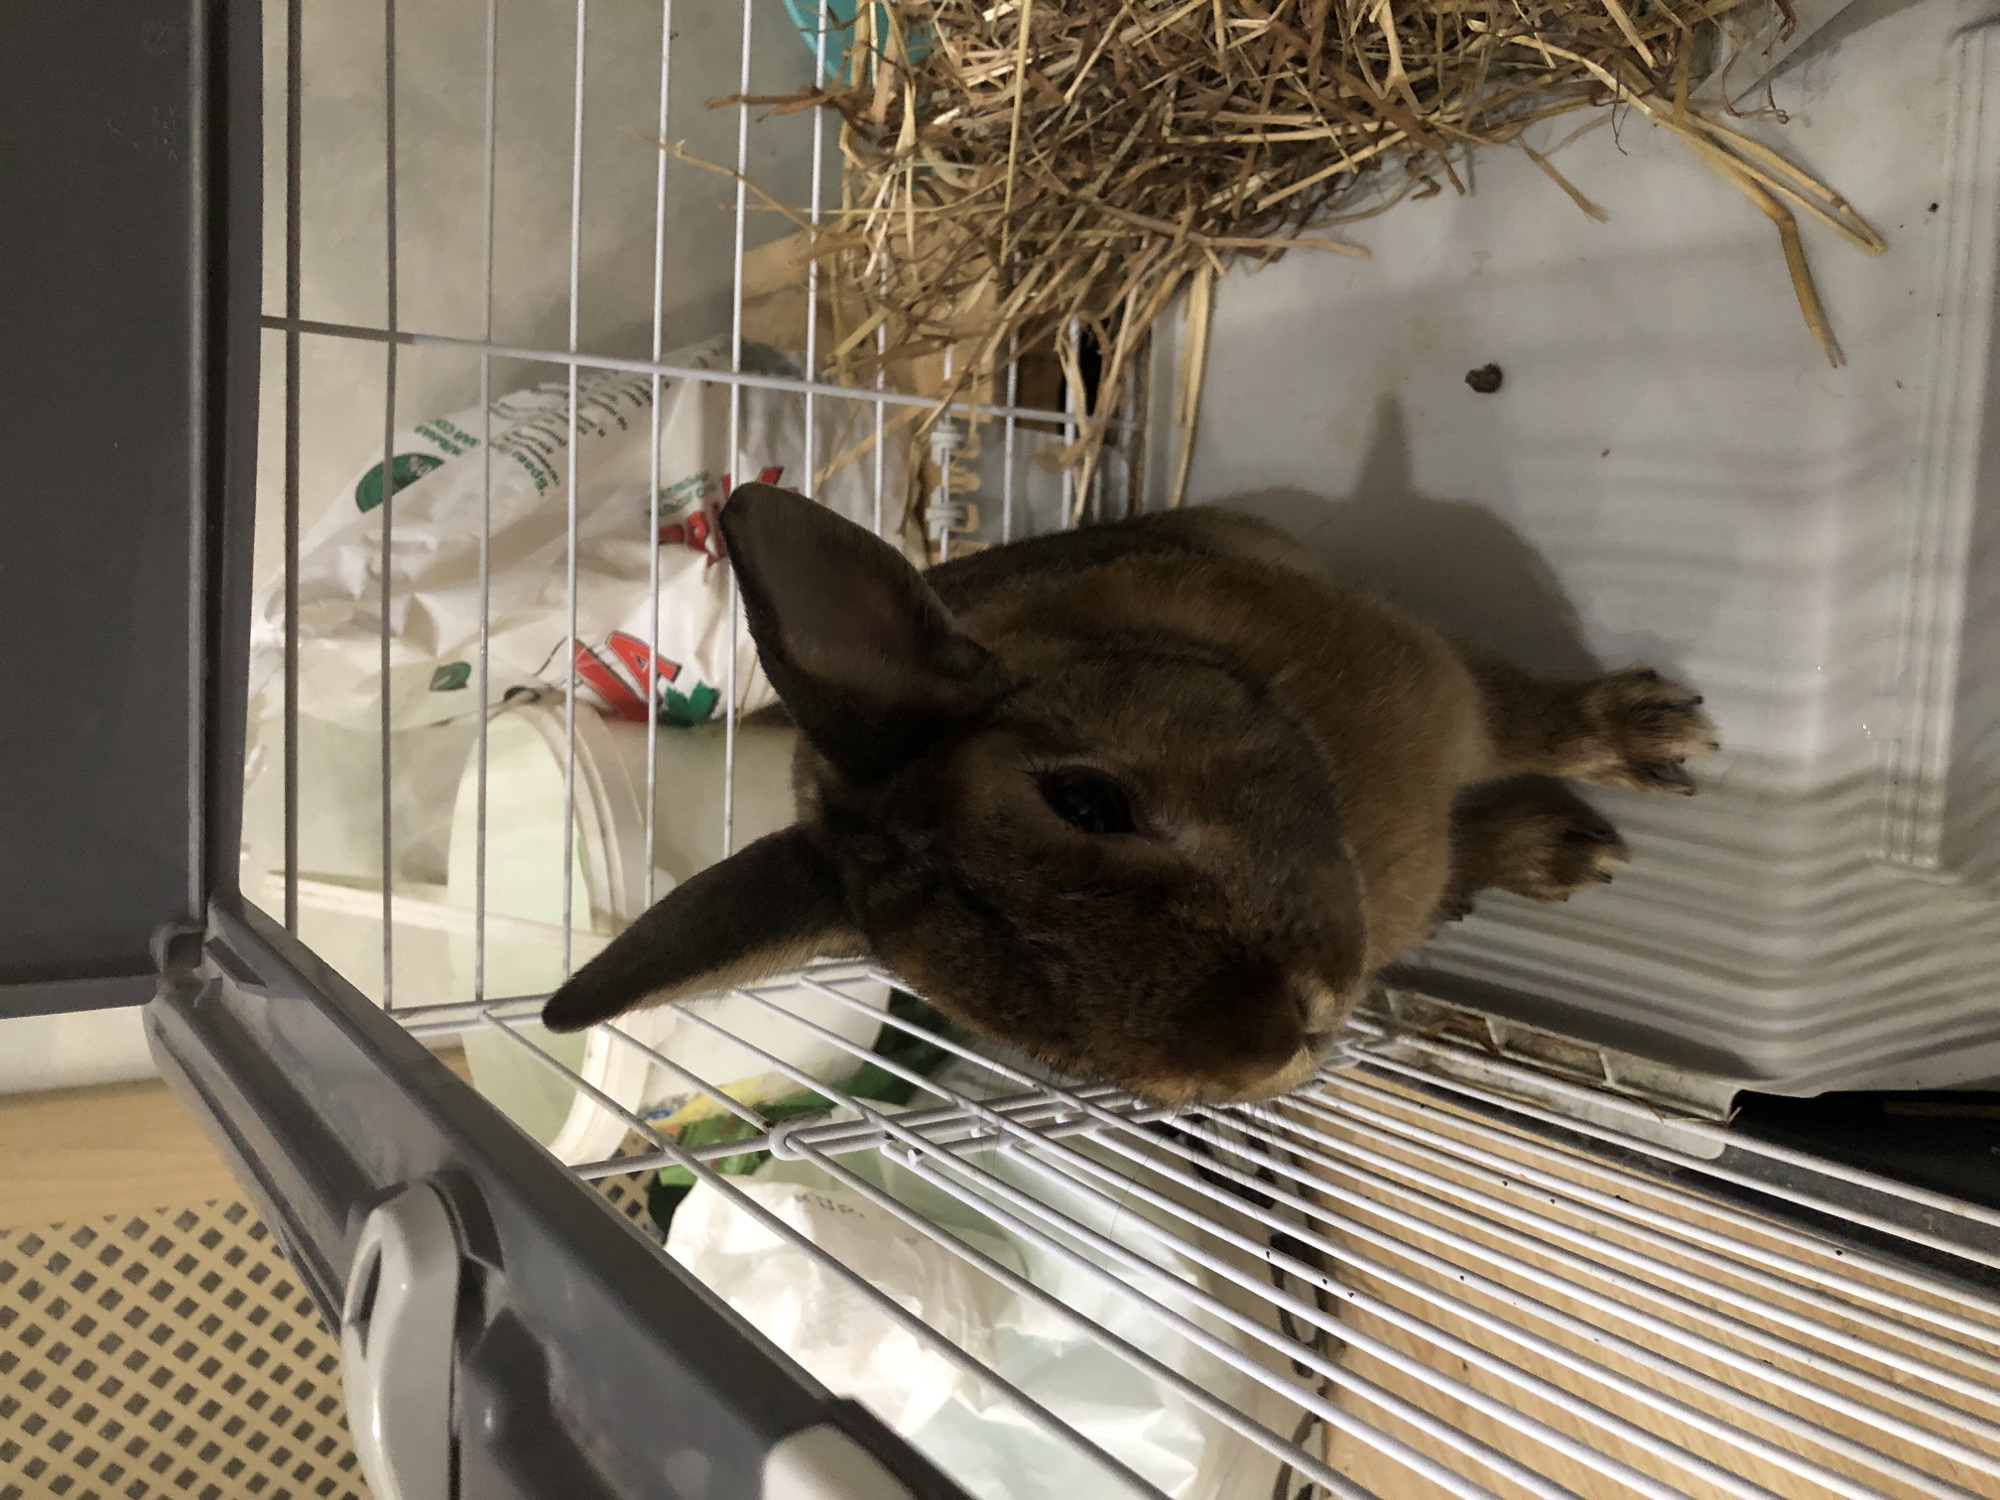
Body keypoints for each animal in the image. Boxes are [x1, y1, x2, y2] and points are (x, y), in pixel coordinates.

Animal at [541, 483, 1717, 1105]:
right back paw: (1555, 853)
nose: (1278, 1041)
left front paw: (1655, 732)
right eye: (1009, 1016)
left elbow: (1526, 717)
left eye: (1089, 800)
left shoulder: (1451, 690)